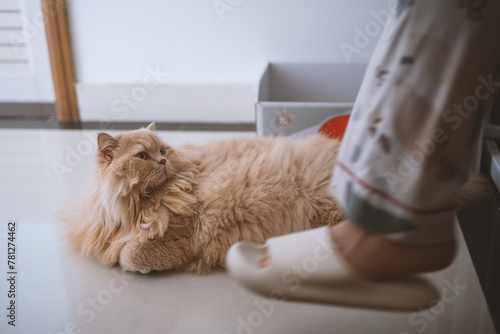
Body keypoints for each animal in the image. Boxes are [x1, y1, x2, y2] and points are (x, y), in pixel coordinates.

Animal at [62, 124, 344, 272]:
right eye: (142, 156)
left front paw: (131, 263)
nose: (163, 161)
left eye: (163, 151)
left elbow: (128, 256)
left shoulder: (178, 238)